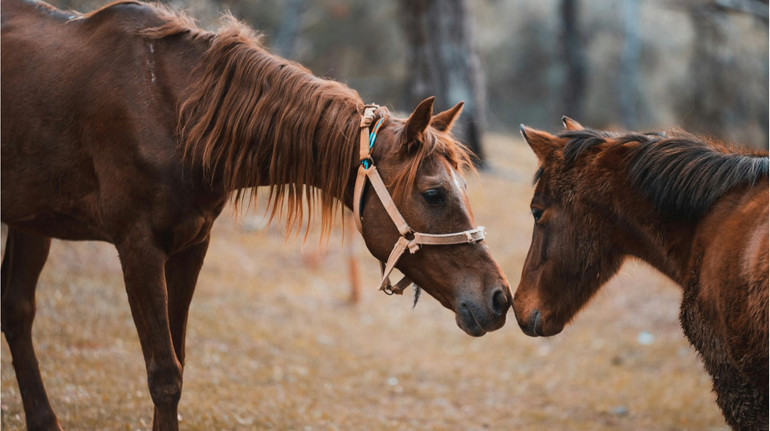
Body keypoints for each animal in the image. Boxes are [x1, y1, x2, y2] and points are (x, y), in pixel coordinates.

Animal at [3, 1, 512, 430]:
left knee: (17, 313)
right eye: (434, 194)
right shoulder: (138, 249)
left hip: (32, 223)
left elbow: (178, 362)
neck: (173, 113)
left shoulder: (191, 246)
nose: (500, 298)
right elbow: (164, 375)